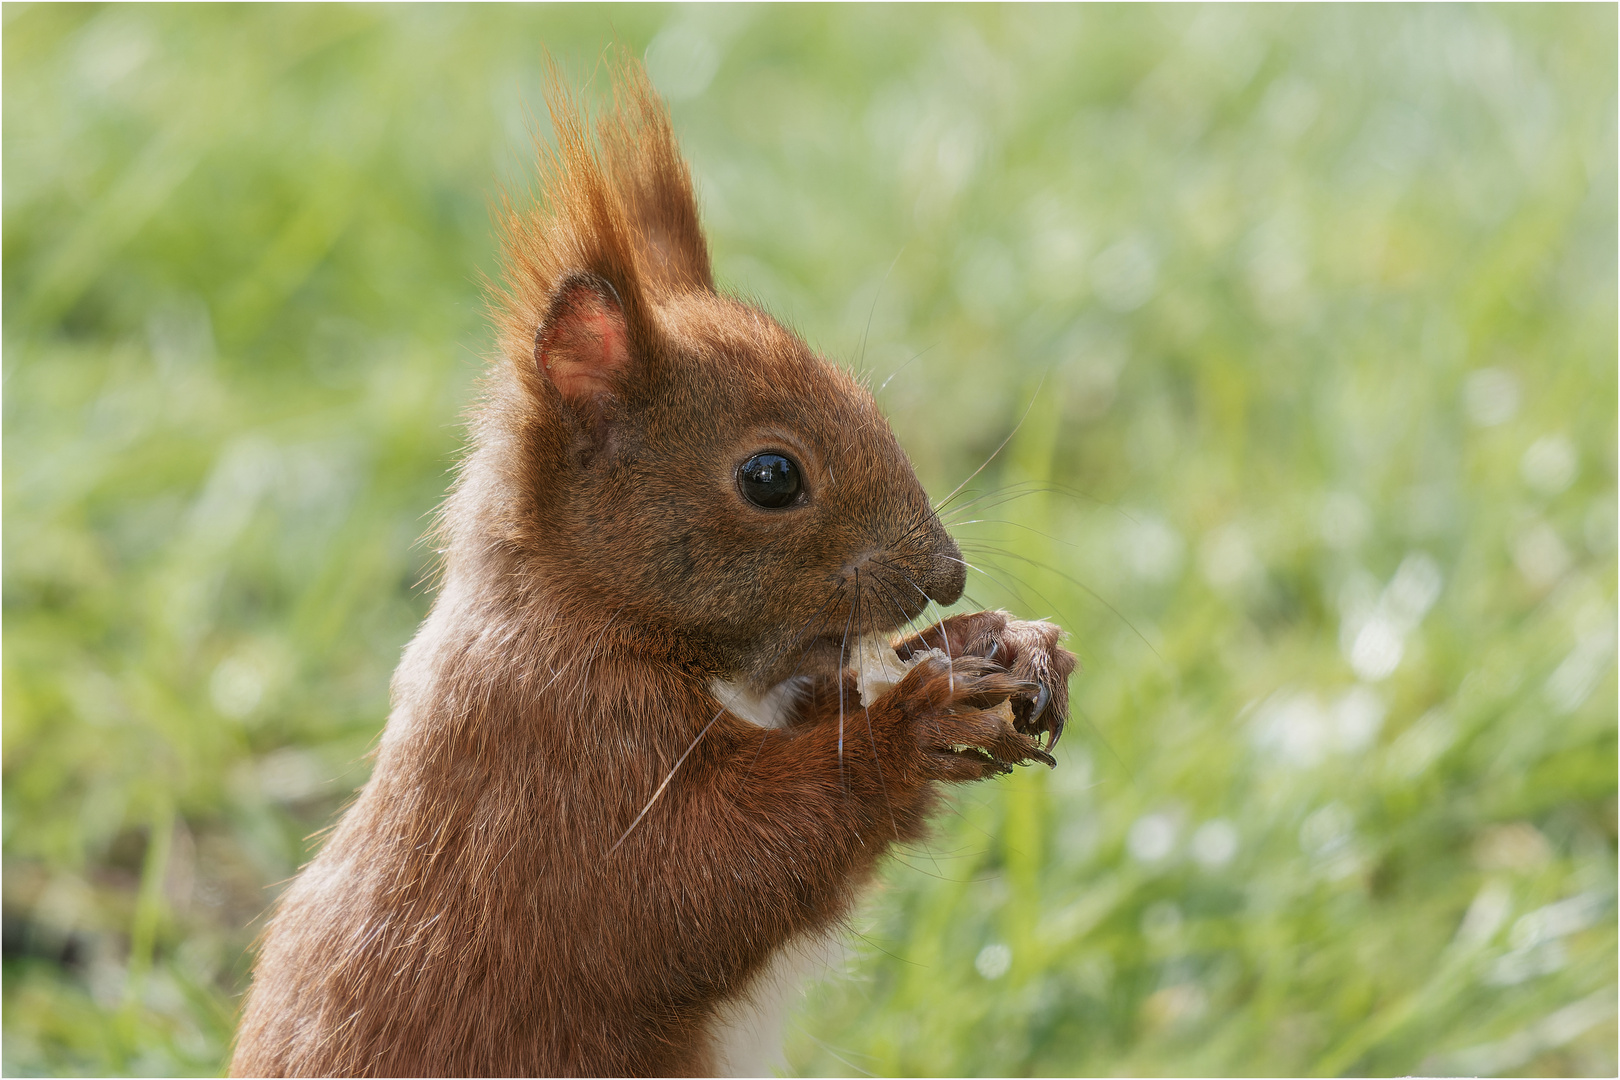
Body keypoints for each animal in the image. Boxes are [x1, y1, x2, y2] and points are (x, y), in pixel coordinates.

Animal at [228, 63, 1075, 1075]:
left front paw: (1000, 642)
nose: (945, 576)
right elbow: (689, 885)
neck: (587, 610)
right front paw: (916, 722)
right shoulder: (553, 768)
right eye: (771, 477)